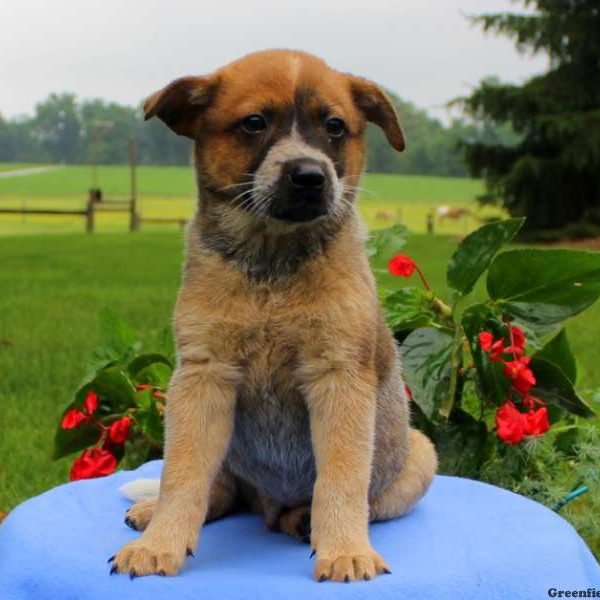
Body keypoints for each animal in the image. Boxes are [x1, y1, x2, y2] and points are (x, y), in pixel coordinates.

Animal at [110, 49, 436, 584]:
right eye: (255, 123)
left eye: (334, 126)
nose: (310, 176)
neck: (271, 266)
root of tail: (265, 504)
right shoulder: (202, 376)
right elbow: (181, 474)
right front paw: (159, 544)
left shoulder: (338, 375)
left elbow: (341, 478)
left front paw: (345, 551)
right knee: (218, 488)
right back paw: (154, 512)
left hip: (421, 452)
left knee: (362, 500)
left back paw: (304, 520)